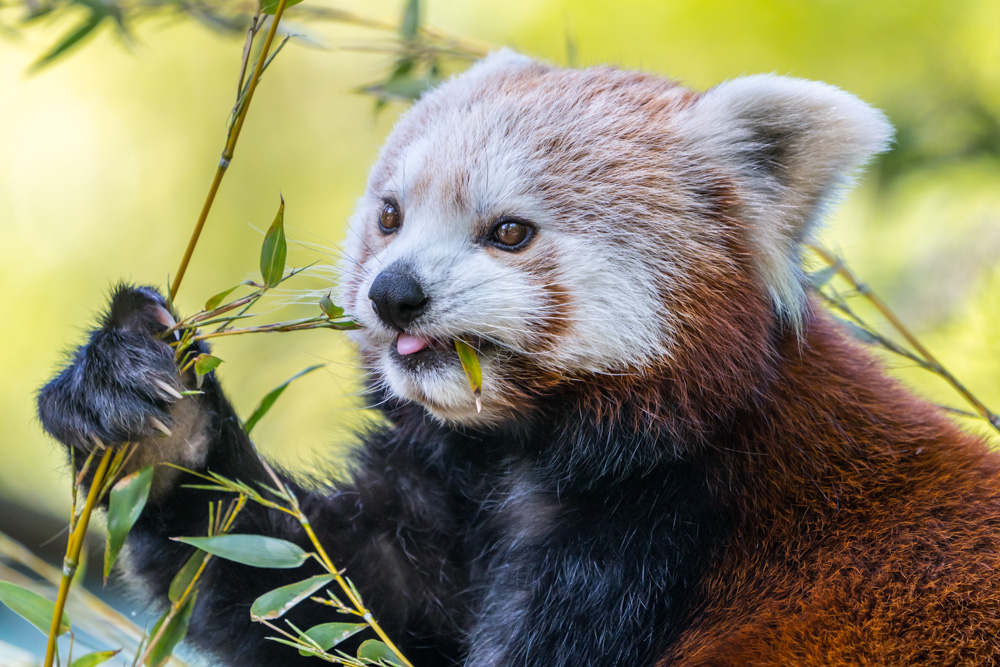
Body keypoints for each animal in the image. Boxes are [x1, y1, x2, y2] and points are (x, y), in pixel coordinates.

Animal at [37, 49, 1000, 664]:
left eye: (509, 231)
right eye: (389, 215)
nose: (394, 293)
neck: (531, 449)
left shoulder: (653, 541)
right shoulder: (449, 507)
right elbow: (318, 595)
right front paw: (150, 410)